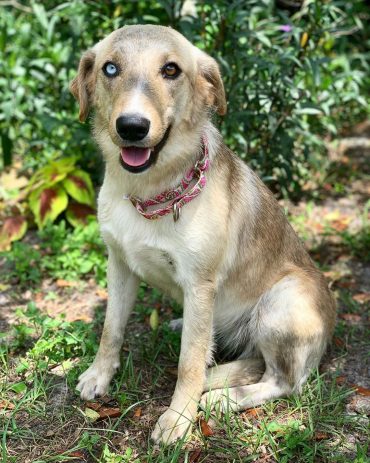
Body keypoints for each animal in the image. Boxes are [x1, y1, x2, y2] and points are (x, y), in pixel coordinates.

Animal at [69, 25, 336, 446]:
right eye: (110, 68)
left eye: (171, 69)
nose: (132, 126)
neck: (149, 192)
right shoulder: (119, 265)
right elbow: (111, 330)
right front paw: (100, 375)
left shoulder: (200, 284)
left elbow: (188, 362)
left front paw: (179, 416)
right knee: (245, 358)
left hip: (282, 301)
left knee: (283, 381)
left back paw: (221, 398)